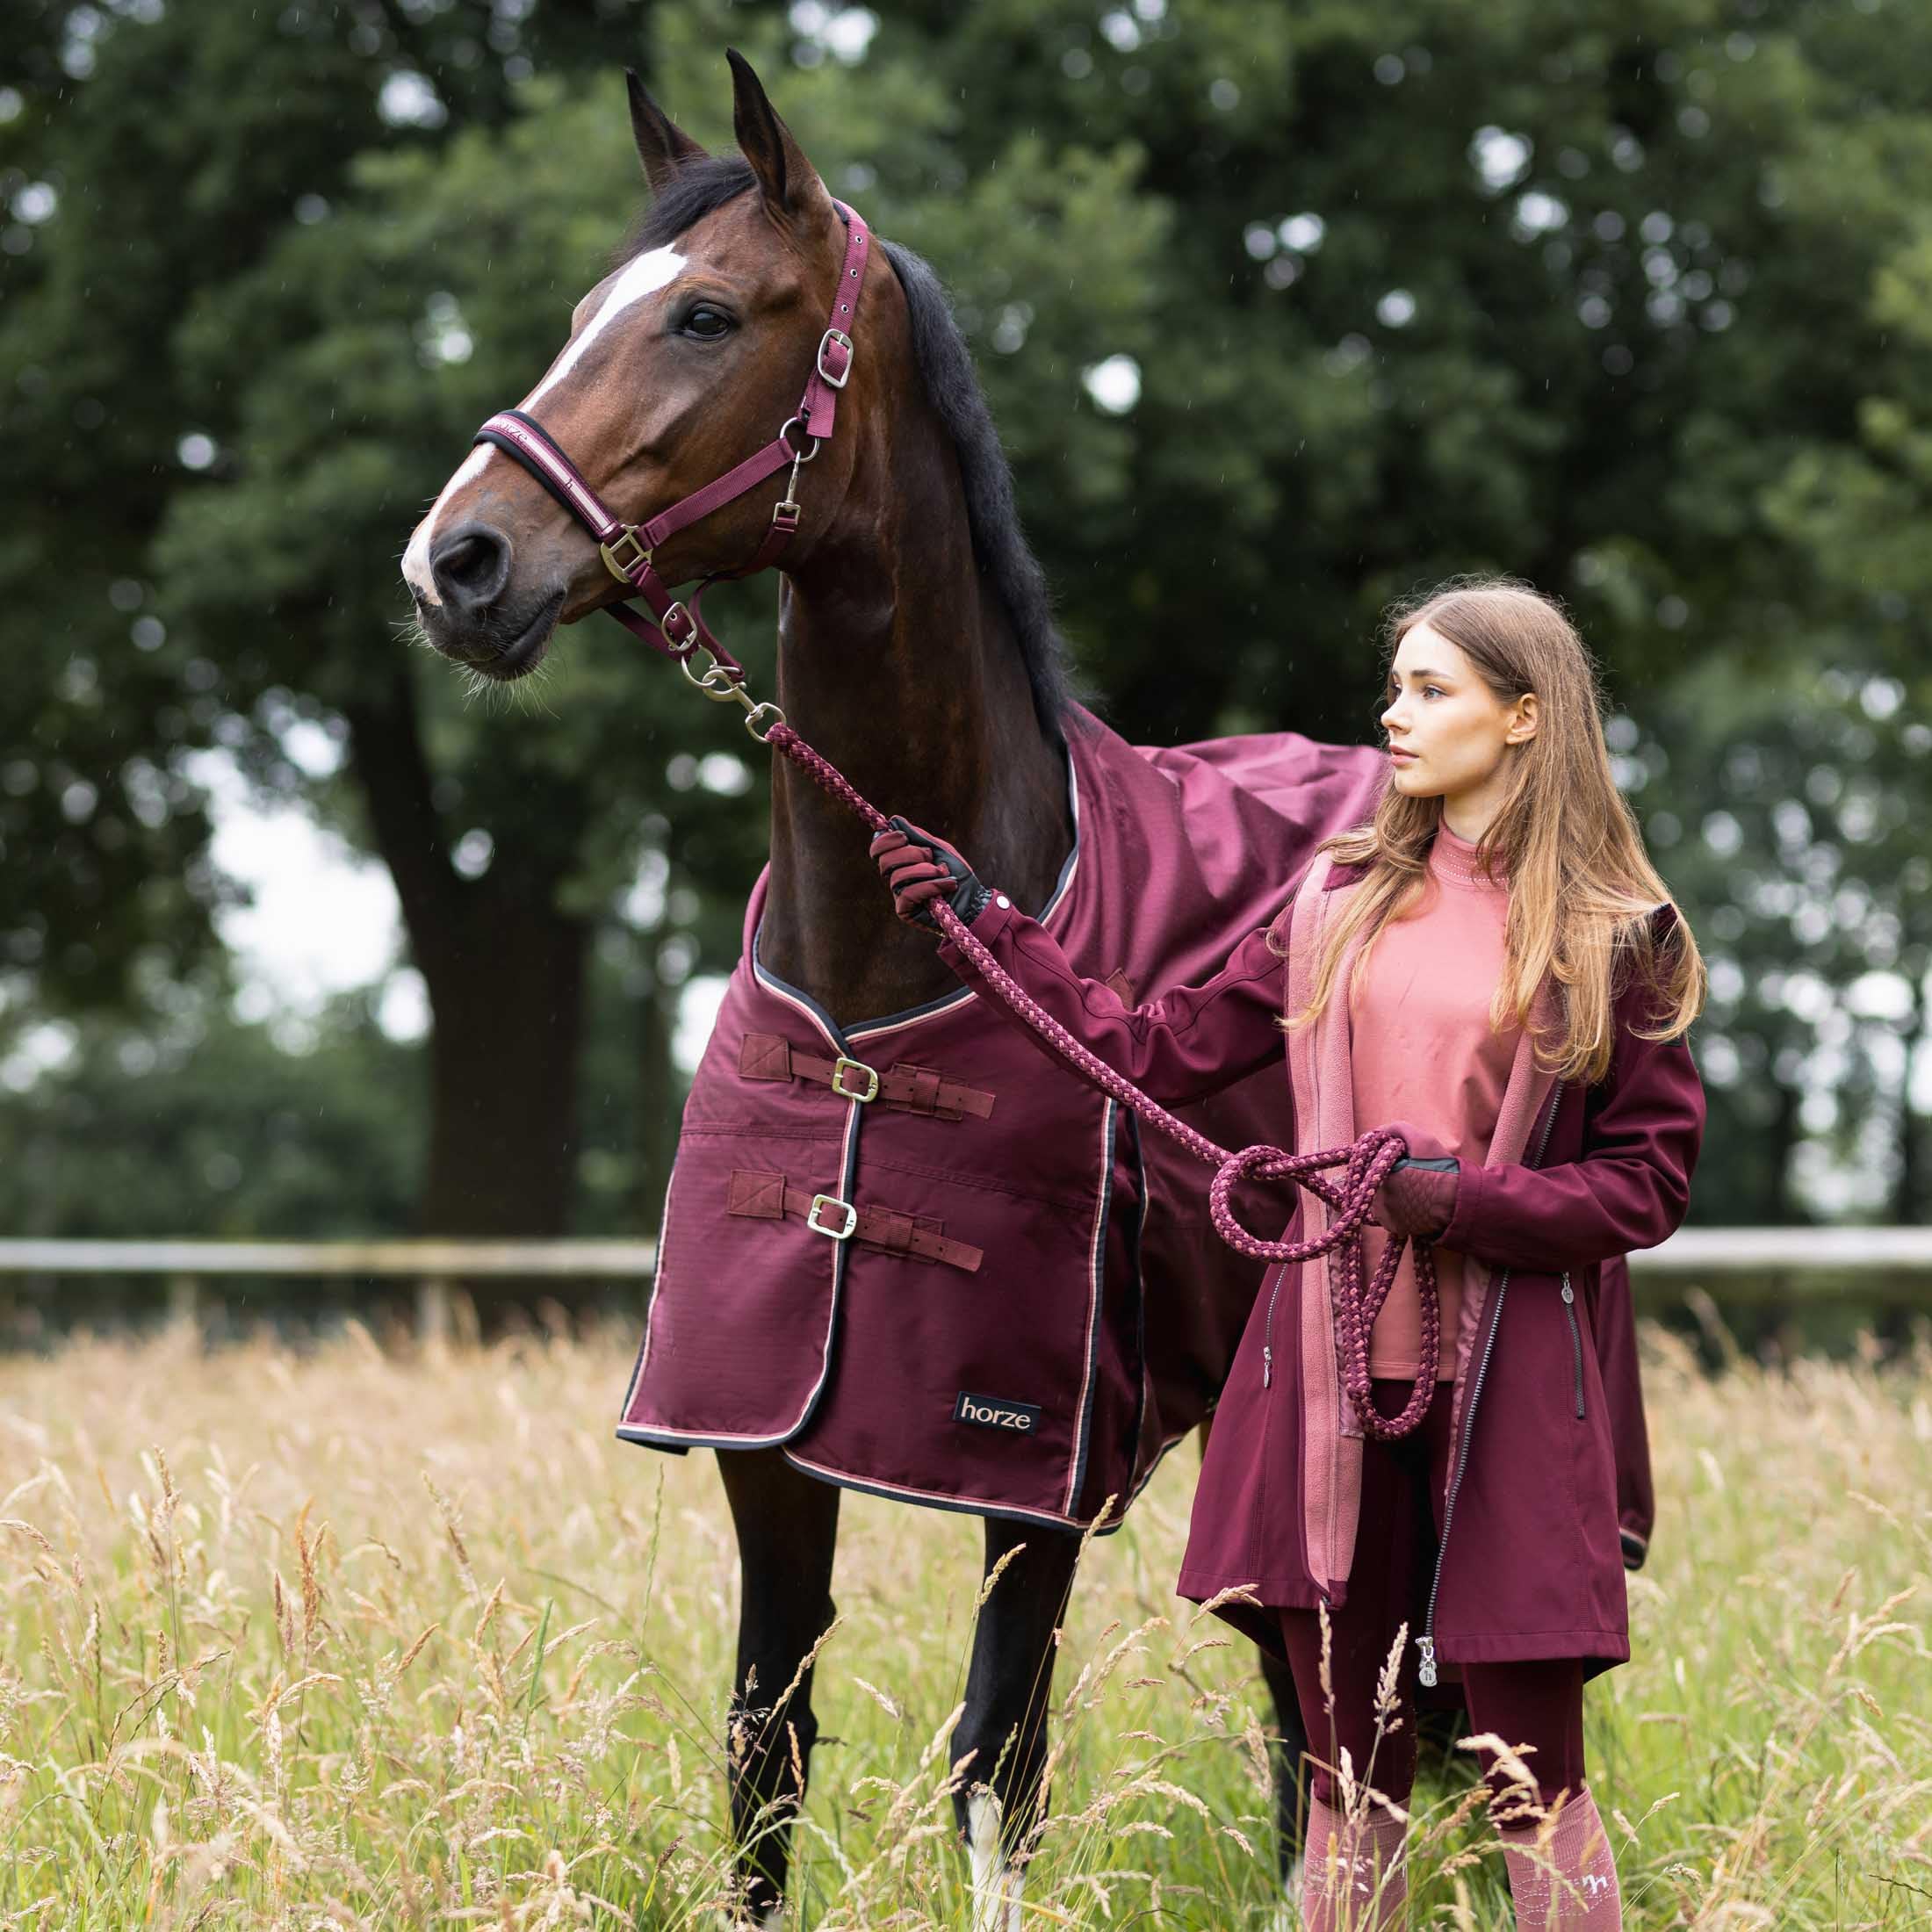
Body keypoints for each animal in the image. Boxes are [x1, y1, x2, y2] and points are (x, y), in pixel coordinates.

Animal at [402, 50, 1382, 1928]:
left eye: (707, 314)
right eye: (580, 315)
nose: (457, 564)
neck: (895, 950)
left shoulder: (1032, 1478)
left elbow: (999, 1765)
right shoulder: (764, 1454)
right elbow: (762, 1759)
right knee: (1303, 1695)